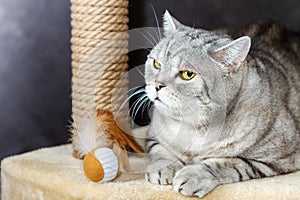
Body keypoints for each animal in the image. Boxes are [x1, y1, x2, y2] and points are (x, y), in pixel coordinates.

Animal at [141, 10, 300, 198]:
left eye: (187, 74)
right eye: (156, 63)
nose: (157, 85)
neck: (194, 128)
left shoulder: (279, 159)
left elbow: (228, 163)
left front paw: (193, 175)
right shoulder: (152, 135)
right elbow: (161, 151)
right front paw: (163, 167)